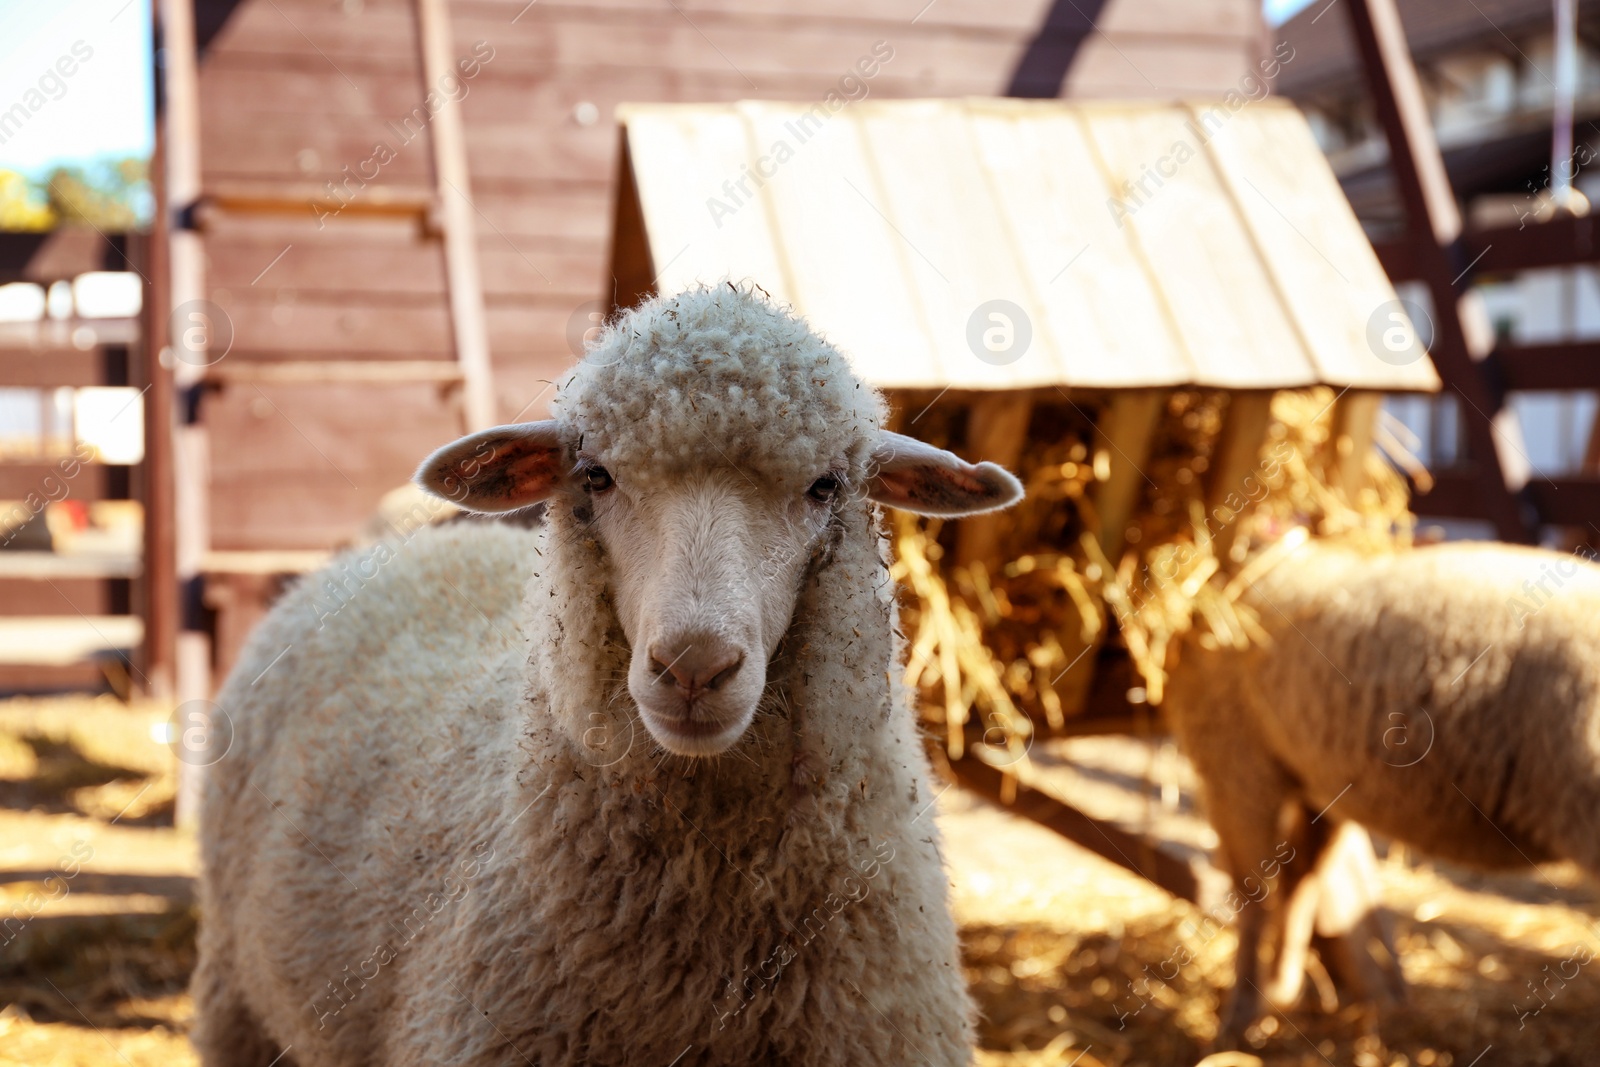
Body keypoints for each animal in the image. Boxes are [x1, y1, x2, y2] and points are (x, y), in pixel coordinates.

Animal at [1164, 534, 1600, 1043]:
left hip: (1274, 775)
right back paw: (1262, 1004)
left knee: (1281, 888)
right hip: (1271, 773)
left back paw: (1262, 1002)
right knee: (1279, 889)